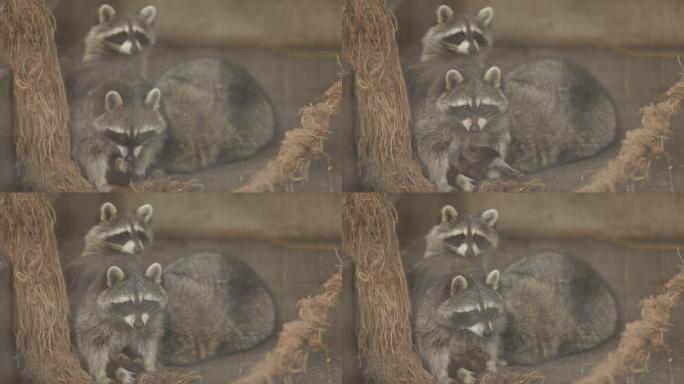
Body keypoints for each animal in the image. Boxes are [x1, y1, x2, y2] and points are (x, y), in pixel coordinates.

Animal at [64, 255, 168, 384]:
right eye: (127, 303)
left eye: (145, 302)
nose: (138, 324)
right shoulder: (91, 312)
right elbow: (93, 343)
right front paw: (100, 373)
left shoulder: (152, 317)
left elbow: (149, 337)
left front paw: (149, 362)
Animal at [406, 255, 508, 384]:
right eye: (473, 312)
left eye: (489, 310)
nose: (487, 333)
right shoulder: (430, 313)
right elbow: (433, 345)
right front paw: (441, 373)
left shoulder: (494, 321)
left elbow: (490, 341)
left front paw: (491, 362)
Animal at [408, 63, 516, 194]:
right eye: (465, 107)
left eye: (483, 107)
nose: (474, 129)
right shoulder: (431, 119)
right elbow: (433, 149)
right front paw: (441, 181)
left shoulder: (497, 121)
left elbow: (497, 141)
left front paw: (494, 169)